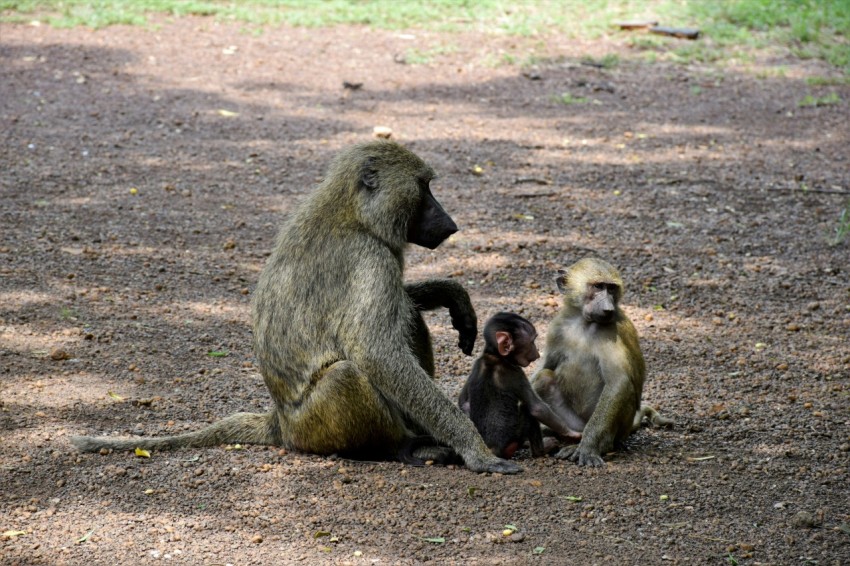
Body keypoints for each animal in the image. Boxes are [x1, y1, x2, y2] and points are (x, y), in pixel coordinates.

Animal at [71, 140, 521, 475]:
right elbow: (376, 354)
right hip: (314, 426)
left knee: (406, 317)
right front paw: (475, 449)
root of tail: (281, 424)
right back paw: (402, 447)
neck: (352, 212)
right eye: (424, 186)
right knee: (346, 374)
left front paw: (453, 296)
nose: (451, 224)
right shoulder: (369, 257)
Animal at [458, 312, 582, 460]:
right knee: (527, 409)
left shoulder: (476, 365)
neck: (495, 356)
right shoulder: (516, 372)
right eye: (532, 341)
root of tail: (492, 448)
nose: (537, 352)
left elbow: (462, 401)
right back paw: (541, 450)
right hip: (512, 442)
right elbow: (536, 408)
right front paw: (572, 433)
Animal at [531, 258, 673, 467]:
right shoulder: (557, 328)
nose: (608, 309)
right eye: (598, 286)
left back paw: (596, 444)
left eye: (611, 288)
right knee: (543, 379)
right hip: (573, 422)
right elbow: (542, 369)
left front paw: (588, 448)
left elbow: (618, 382)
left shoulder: (609, 331)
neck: (583, 322)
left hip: (618, 427)